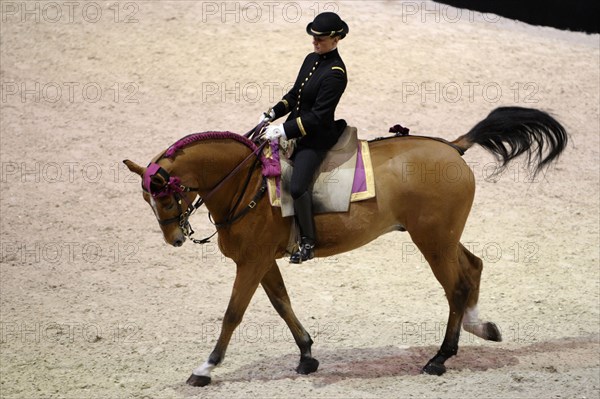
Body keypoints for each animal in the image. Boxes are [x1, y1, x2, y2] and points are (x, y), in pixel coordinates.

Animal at [125, 106, 568, 388]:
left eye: (166, 196)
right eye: (148, 200)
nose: (175, 238)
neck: (247, 183)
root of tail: (452, 146)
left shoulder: (250, 263)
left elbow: (232, 315)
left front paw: (205, 368)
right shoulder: (264, 262)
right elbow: (282, 303)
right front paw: (306, 355)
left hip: (433, 241)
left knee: (455, 286)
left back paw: (440, 358)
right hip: (442, 237)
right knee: (473, 267)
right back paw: (481, 327)